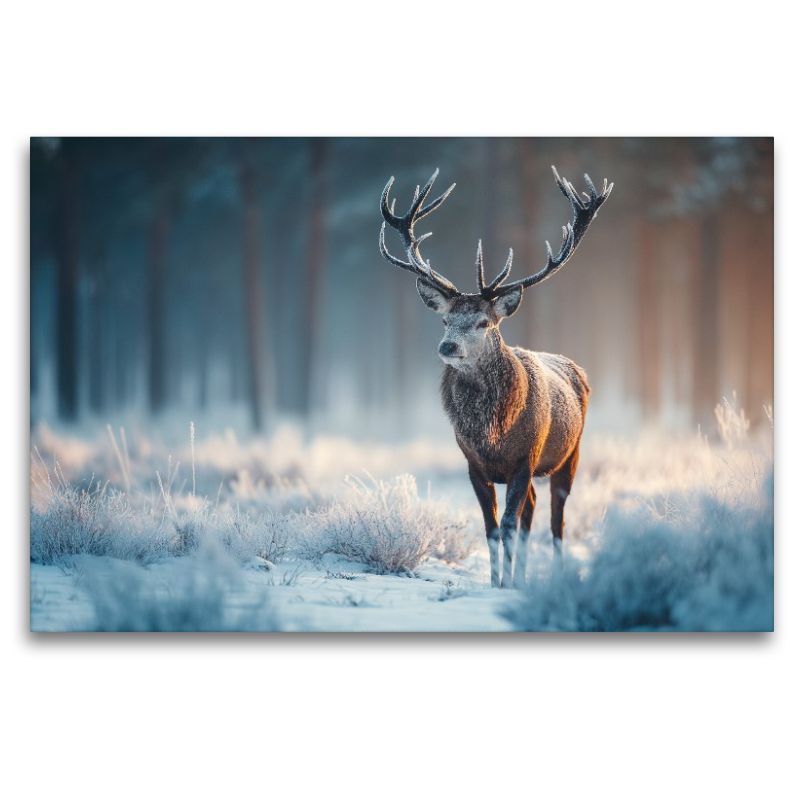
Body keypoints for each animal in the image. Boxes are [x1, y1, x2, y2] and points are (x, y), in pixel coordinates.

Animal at [378, 165, 613, 589]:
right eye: (445, 320)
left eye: (484, 322)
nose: (447, 346)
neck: (492, 435)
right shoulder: (473, 464)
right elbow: (490, 527)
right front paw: (496, 582)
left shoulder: (525, 457)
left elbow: (508, 524)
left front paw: (505, 585)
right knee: (531, 512)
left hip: (570, 453)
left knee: (555, 520)